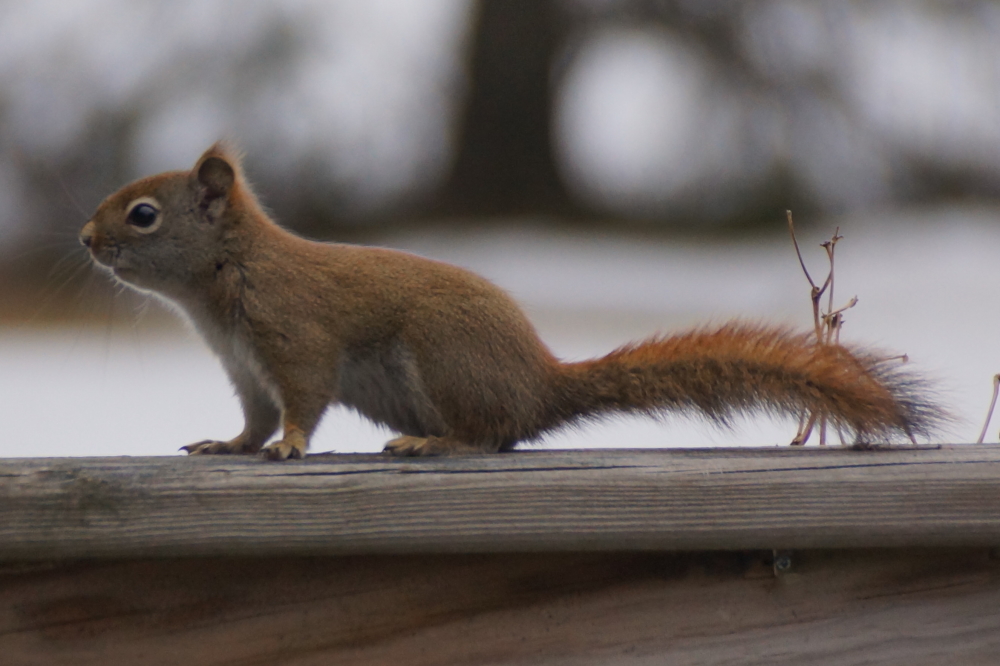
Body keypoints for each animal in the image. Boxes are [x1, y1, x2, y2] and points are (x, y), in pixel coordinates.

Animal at [79, 143, 943, 460]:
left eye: (143, 214)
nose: (85, 238)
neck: (226, 277)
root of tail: (539, 383)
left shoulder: (295, 341)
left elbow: (301, 403)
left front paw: (291, 448)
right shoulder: (245, 369)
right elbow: (253, 420)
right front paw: (230, 445)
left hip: (442, 358)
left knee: (486, 435)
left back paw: (431, 443)